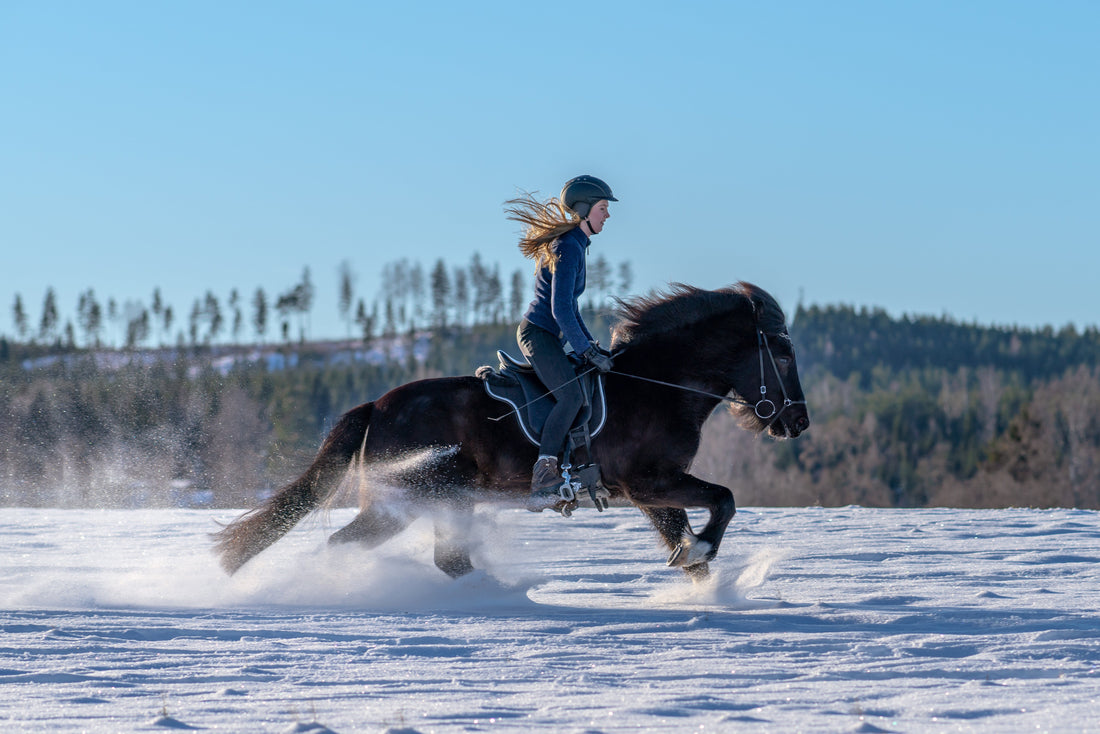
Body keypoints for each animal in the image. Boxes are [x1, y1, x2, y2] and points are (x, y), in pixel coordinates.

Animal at [213, 282, 810, 580]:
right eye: (781, 354)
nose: (798, 421)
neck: (656, 385)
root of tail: (376, 407)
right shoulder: (650, 481)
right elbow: (724, 501)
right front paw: (702, 552)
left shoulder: (649, 492)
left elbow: (687, 541)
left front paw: (703, 585)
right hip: (409, 499)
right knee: (359, 547)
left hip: (439, 500)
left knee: (443, 559)